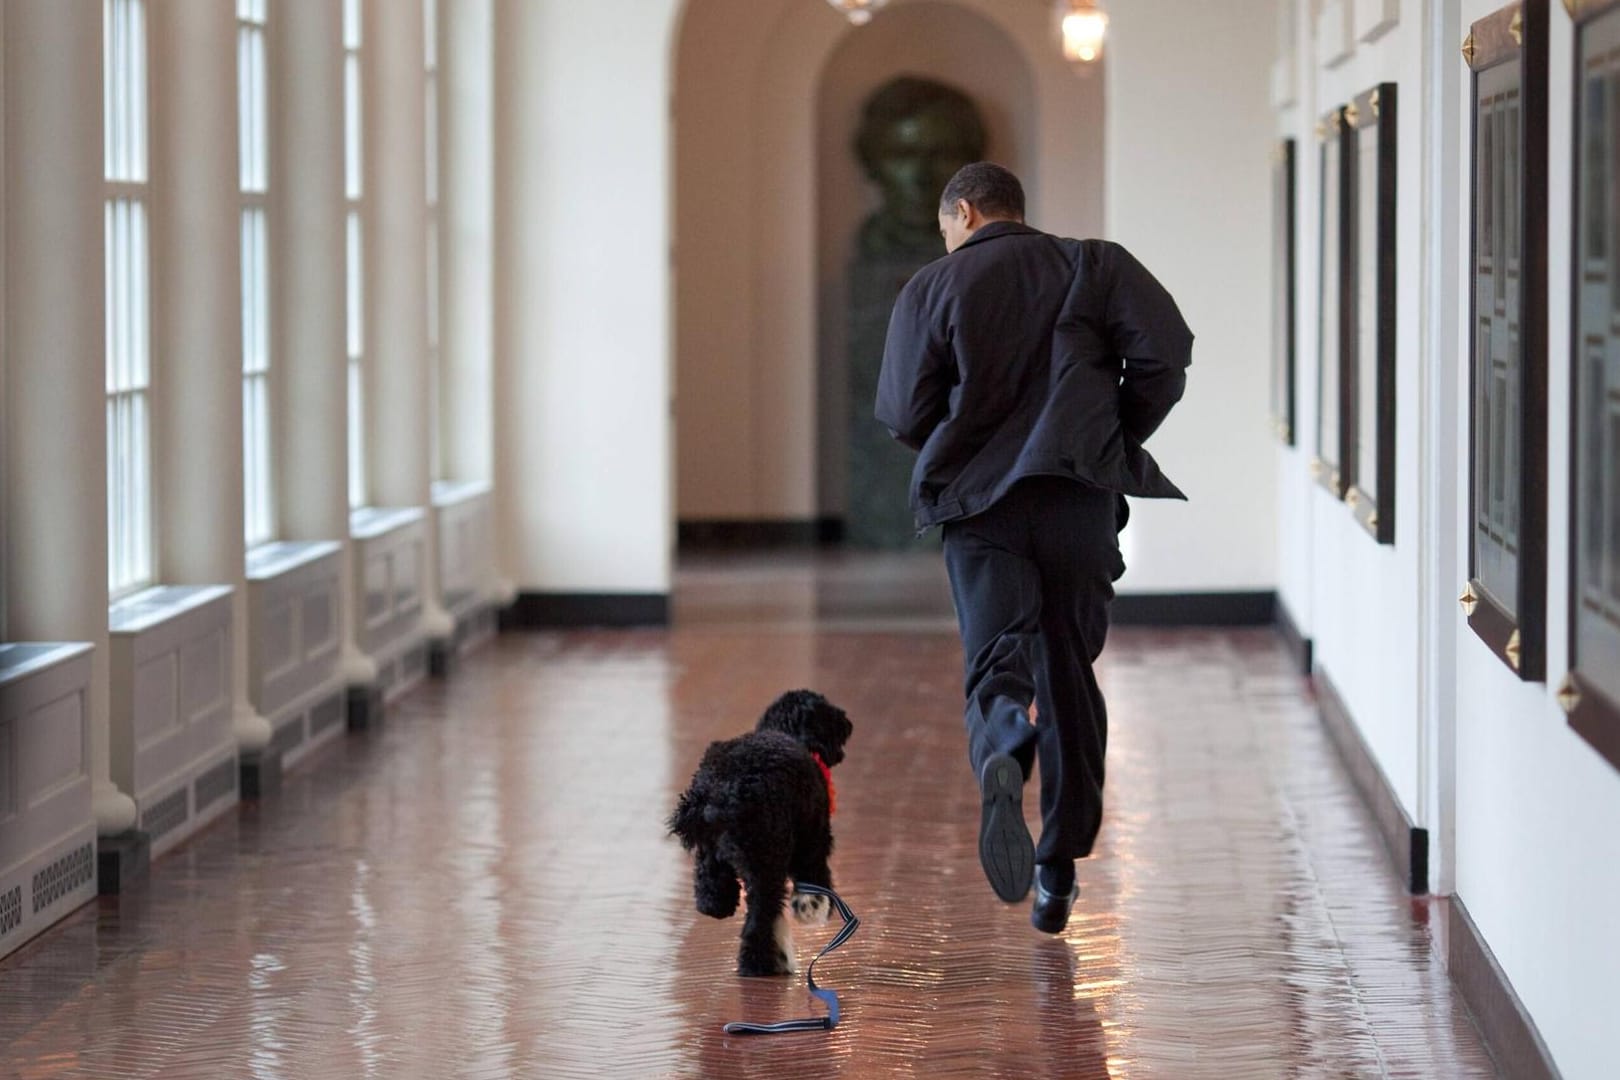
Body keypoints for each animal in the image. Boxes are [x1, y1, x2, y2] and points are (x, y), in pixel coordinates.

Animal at [664, 693, 855, 977]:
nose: (848, 724)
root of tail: (722, 792)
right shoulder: (813, 841)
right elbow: (815, 882)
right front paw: (812, 908)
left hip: (716, 855)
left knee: (712, 893)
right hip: (767, 861)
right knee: (759, 918)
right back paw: (757, 964)